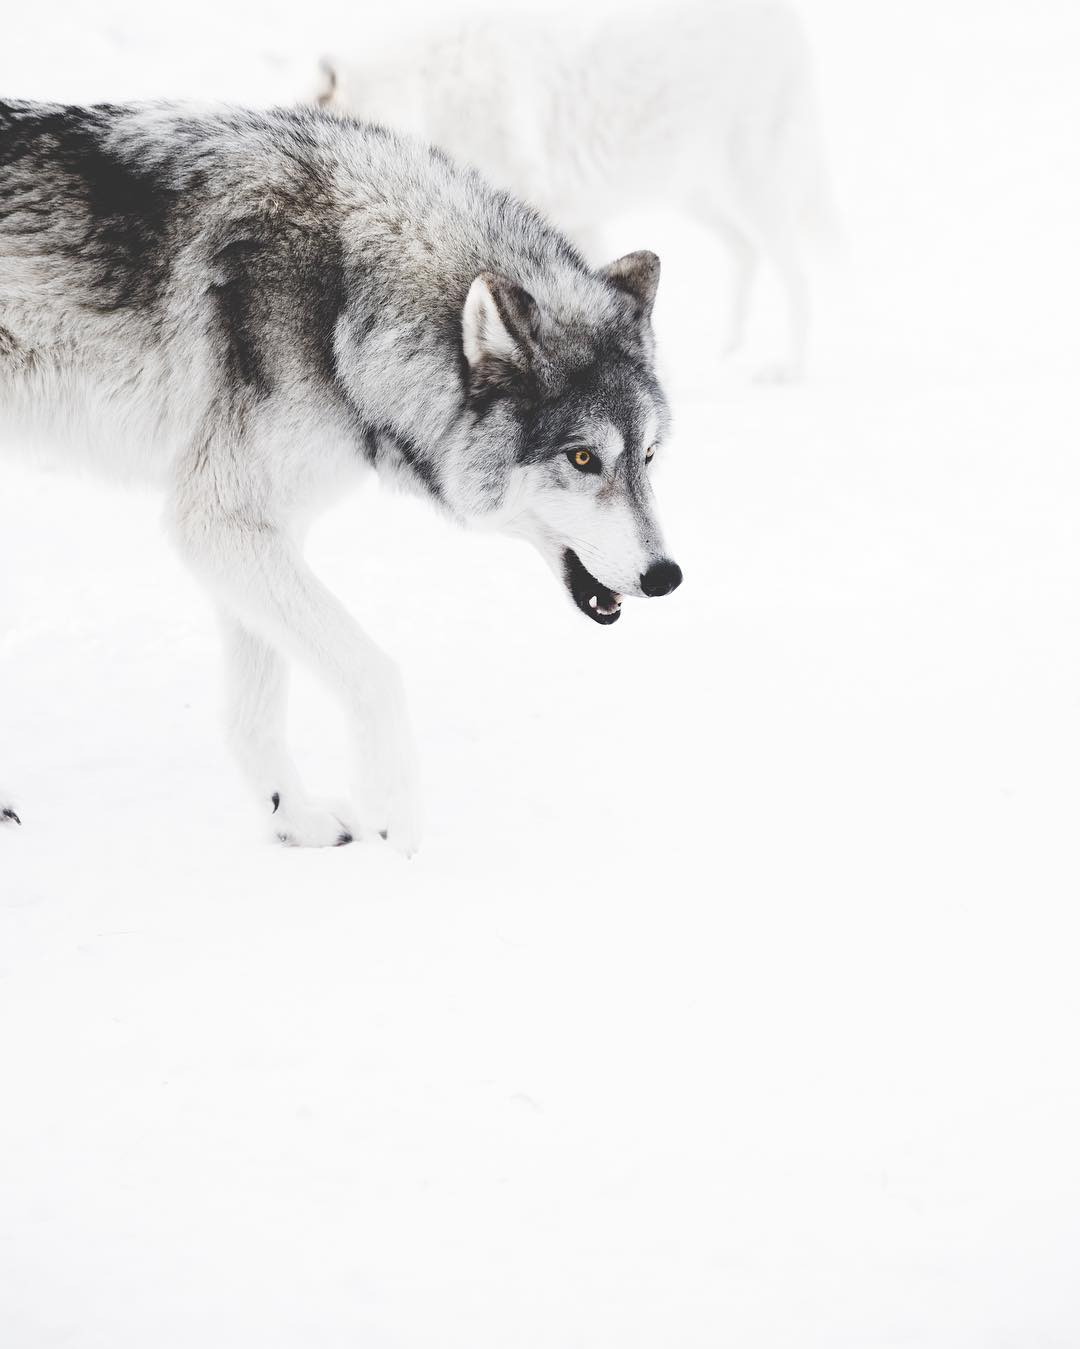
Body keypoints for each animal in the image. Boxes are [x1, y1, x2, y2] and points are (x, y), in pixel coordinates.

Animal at [0, 99, 682, 847]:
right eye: (584, 458)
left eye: (649, 455)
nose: (667, 576)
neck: (346, 305)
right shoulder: (220, 522)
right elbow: (374, 675)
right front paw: (399, 830)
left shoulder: (256, 530)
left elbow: (256, 710)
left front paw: (292, 821)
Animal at [311, 2, 835, 380]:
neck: (423, 97)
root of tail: (786, 19)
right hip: (701, 198)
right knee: (747, 252)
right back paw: (727, 351)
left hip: (752, 190)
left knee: (800, 276)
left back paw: (787, 368)